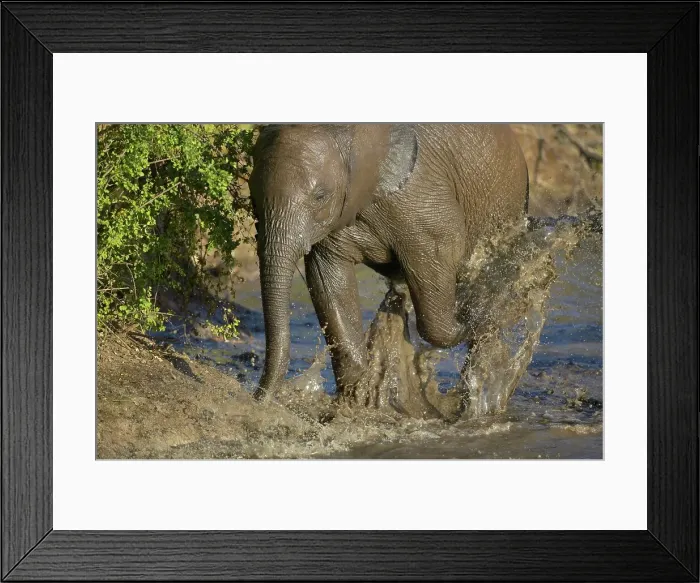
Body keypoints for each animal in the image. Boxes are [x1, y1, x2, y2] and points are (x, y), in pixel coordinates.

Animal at [248, 123, 529, 410]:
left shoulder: (422, 199)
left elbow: (440, 264)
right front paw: (356, 398)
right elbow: (328, 280)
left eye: (320, 197)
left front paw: (482, 313)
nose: (257, 399)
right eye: (252, 196)